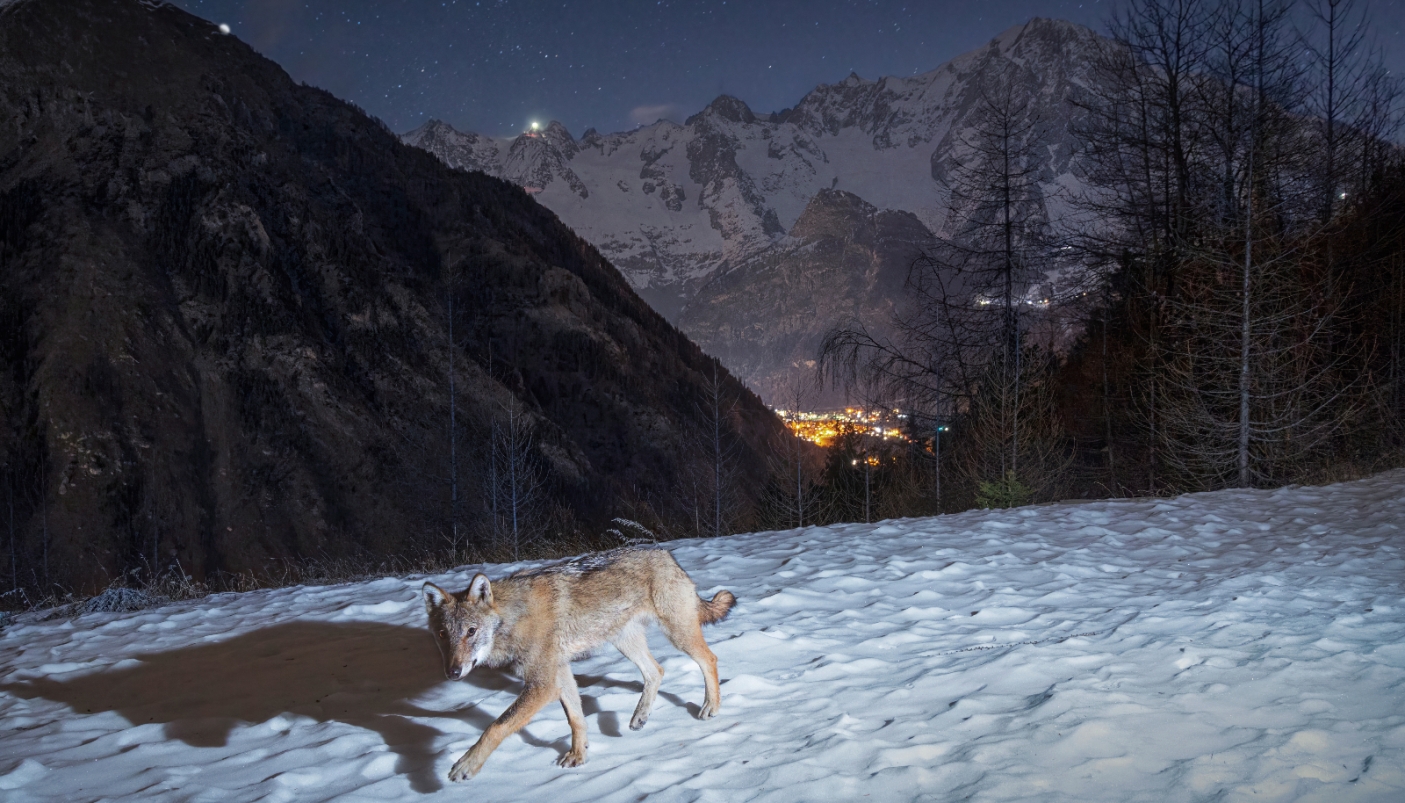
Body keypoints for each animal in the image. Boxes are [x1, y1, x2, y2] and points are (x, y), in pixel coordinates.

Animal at [422, 546, 736, 780]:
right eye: (443, 634)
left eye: (471, 631)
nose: (452, 672)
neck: (513, 618)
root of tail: (668, 555)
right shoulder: (559, 674)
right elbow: (576, 718)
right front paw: (579, 755)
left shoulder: (543, 684)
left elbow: (495, 727)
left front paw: (466, 765)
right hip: (625, 642)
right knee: (656, 671)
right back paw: (639, 717)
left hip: (677, 635)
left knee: (709, 659)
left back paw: (710, 706)